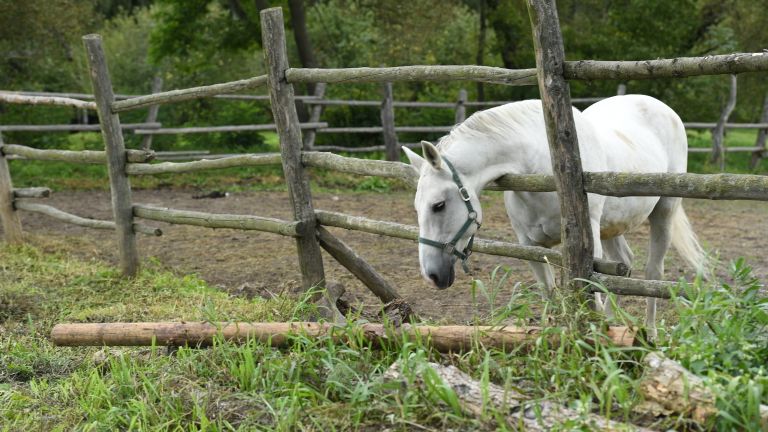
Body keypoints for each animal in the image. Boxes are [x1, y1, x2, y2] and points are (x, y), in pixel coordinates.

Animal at [403, 95, 708, 335]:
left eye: (438, 205)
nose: (432, 275)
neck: (540, 167)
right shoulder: (530, 246)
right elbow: (550, 295)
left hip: (664, 211)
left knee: (653, 273)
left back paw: (651, 332)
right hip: (611, 227)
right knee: (623, 265)